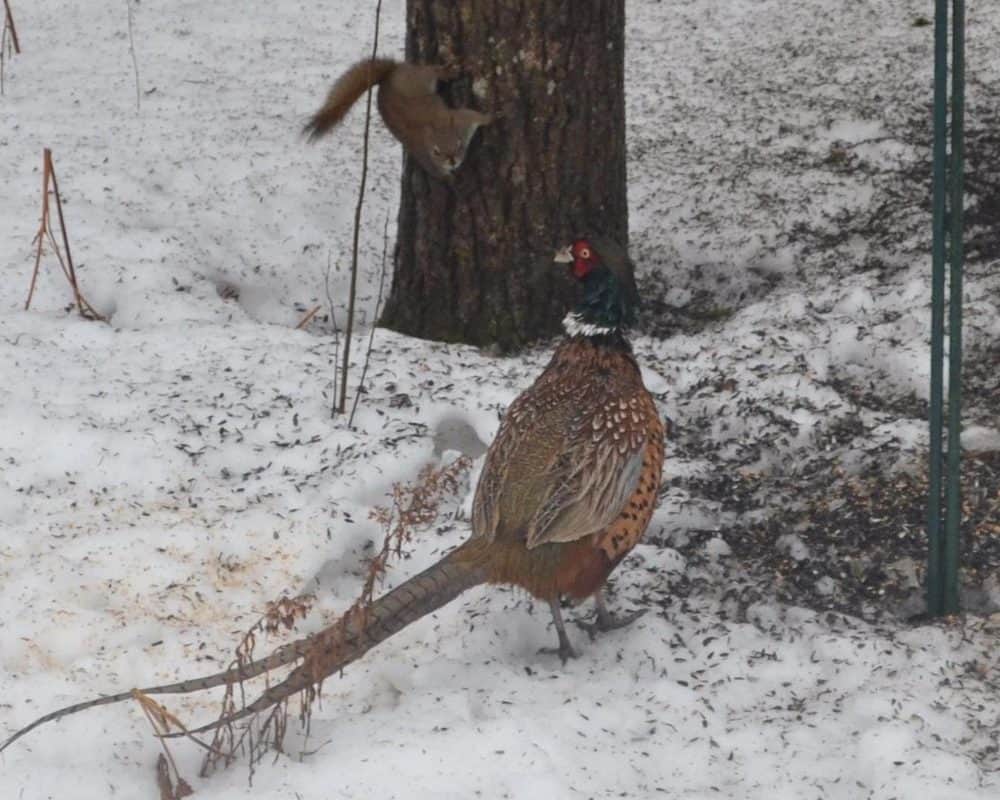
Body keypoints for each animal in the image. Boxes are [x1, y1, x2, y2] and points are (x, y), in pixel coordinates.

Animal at [304, 58, 493, 179]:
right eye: (436, 152)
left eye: (459, 144)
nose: (452, 161)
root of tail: (389, 75)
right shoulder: (426, 158)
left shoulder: (462, 120)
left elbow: (477, 116)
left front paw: (493, 115)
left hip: (417, 78)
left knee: (431, 71)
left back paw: (447, 72)